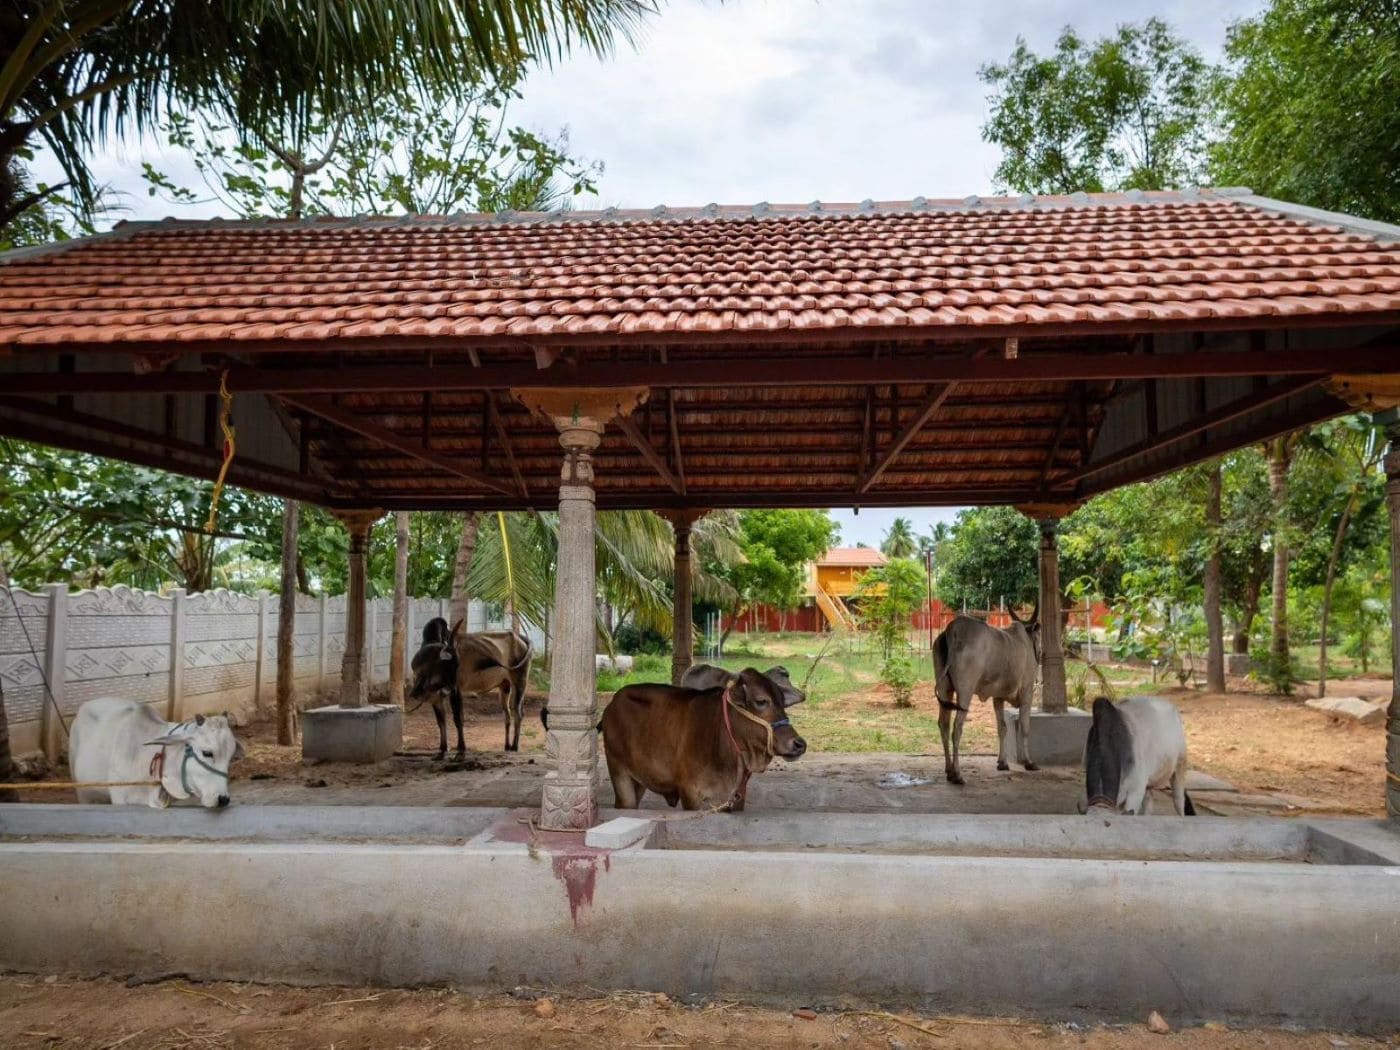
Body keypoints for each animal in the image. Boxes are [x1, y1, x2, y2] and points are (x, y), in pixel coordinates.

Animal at [602, 666, 812, 812]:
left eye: (782, 702)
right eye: (761, 701)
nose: (799, 744)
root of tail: (612, 703)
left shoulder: (734, 798)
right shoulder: (690, 794)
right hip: (620, 775)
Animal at [929, 613, 1041, 784]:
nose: (1040, 653)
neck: (1026, 639)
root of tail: (952, 630)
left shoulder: (998, 698)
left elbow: (1002, 727)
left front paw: (1002, 762)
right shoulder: (1027, 692)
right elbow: (1025, 727)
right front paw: (1028, 762)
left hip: (945, 690)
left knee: (944, 725)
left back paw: (948, 769)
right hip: (965, 692)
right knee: (957, 728)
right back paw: (957, 774)